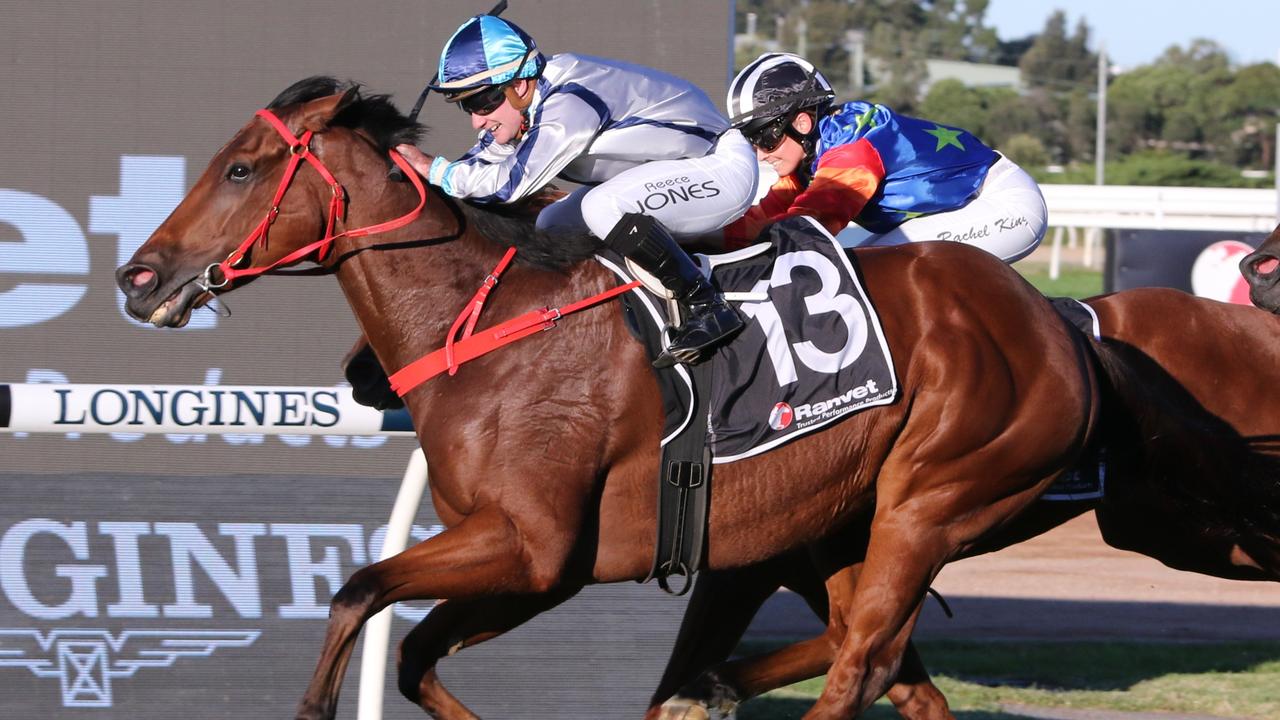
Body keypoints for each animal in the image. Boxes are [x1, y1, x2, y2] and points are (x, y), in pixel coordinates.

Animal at [115, 78, 1105, 717]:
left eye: (241, 170)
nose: (139, 276)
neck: (491, 324)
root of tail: (1054, 325)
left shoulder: (531, 543)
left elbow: (356, 593)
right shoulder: (541, 566)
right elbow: (414, 655)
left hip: (931, 502)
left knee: (866, 656)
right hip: (838, 523)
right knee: (886, 660)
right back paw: (708, 686)